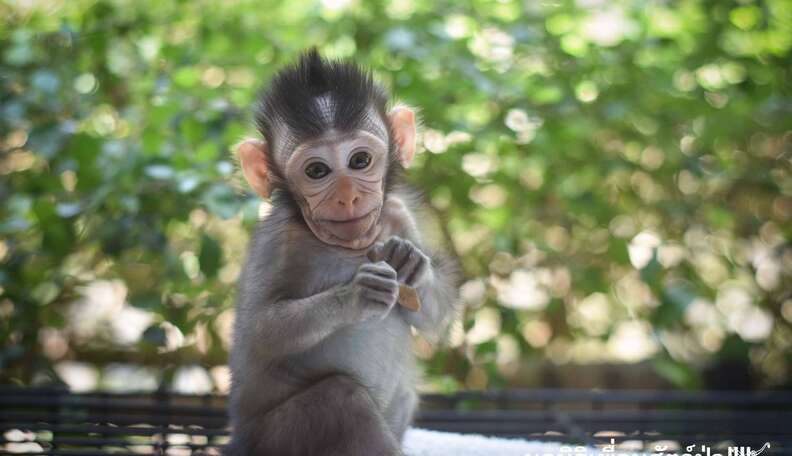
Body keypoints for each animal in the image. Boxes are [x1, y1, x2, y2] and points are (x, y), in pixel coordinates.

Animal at [226, 50, 454, 456]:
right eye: (317, 170)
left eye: (359, 161)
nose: (347, 197)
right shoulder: (277, 242)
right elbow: (260, 332)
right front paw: (355, 295)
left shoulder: (398, 213)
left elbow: (435, 318)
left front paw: (413, 265)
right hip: (273, 438)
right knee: (341, 399)